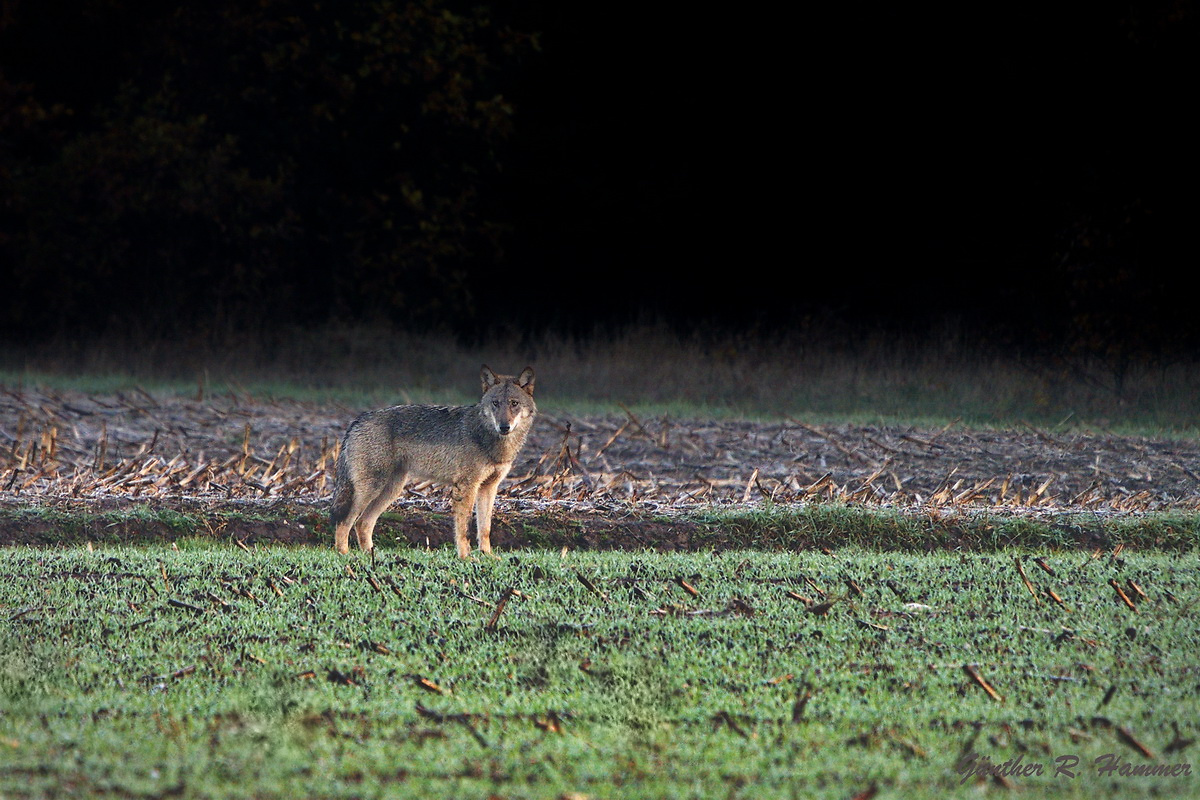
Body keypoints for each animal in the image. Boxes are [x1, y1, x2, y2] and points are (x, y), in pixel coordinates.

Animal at [328, 364, 535, 556]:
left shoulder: (488, 488)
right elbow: (464, 529)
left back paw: (371, 556)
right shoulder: (466, 487)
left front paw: (487, 556)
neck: (488, 438)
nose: (504, 427)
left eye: (514, 403)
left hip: (390, 490)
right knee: (344, 521)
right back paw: (345, 554)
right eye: (495, 403)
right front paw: (467, 558)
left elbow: (485, 528)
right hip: (371, 489)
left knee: (363, 523)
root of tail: (358, 419)